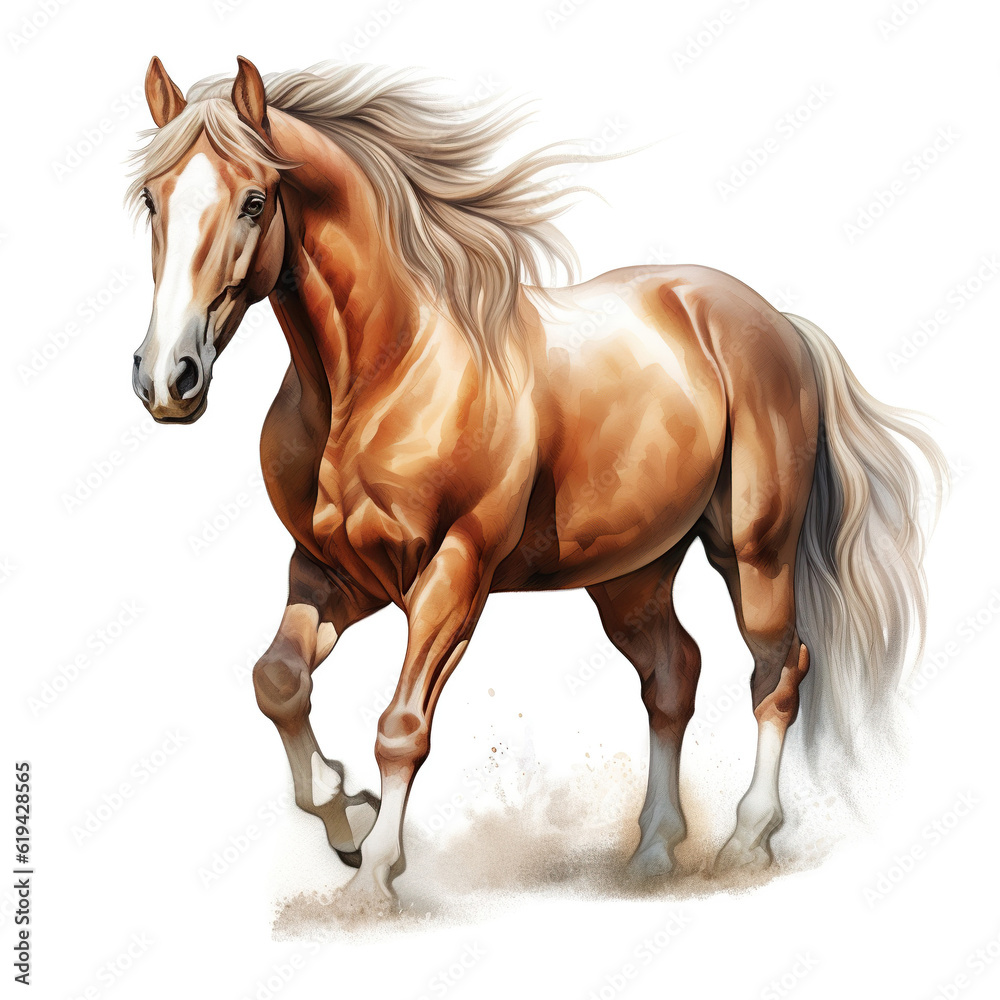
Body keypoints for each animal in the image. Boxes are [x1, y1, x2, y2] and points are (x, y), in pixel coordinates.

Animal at [129, 56, 946, 904]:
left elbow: (402, 728)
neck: (385, 372)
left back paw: (746, 842)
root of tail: (779, 323)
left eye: (255, 200)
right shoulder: (330, 572)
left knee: (777, 671)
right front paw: (345, 819)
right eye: (152, 198)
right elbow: (278, 682)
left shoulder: (454, 572)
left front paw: (375, 877)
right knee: (673, 674)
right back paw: (653, 852)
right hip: (632, 573)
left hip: (754, 553)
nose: (167, 379)